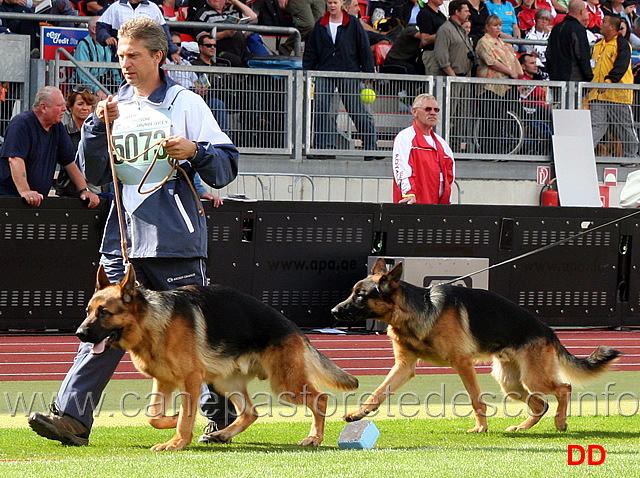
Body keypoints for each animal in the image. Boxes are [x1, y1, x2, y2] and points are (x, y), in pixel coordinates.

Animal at [77, 264, 358, 450]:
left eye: (104, 312)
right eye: (88, 310)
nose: (79, 334)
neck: (152, 322)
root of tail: (294, 327)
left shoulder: (191, 380)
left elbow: (185, 416)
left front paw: (177, 441)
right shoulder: (163, 381)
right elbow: (153, 415)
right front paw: (171, 421)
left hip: (285, 385)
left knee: (320, 399)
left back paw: (314, 438)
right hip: (225, 382)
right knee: (250, 412)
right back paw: (221, 435)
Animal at [332, 258, 624, 434]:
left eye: (360, 295)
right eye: (353, 292)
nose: (334, 311)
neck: (415, 310)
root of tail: (548, 330)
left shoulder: (462, 363)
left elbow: (475, 399)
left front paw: (481, 428)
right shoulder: (404, 366)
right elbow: (378, 393)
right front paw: (357, 414)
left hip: (533, 377)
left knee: (564, 388)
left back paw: (561, 422)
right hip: (511, 383)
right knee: (540, 404)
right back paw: (523, 427)